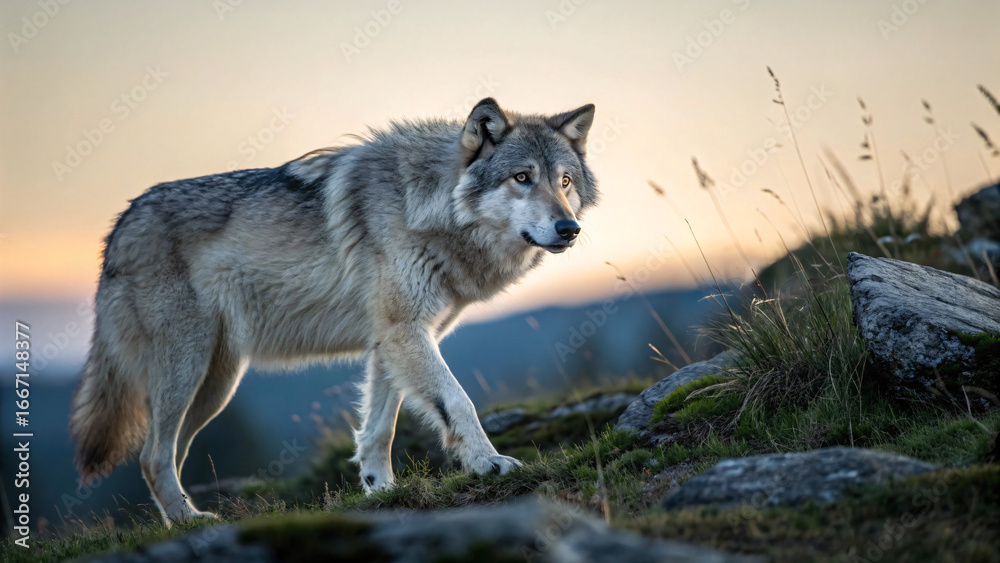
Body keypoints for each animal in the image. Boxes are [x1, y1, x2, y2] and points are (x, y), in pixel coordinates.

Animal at [69, 98, 599, 524]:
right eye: (522, 178)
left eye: (564, 181)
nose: (569, 229)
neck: (426, 205)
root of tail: (118, 227)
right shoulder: (407, 332)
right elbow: (458, 401)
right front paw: (490, 464)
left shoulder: (392, 340)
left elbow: (380, 428)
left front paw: (381, 491)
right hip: (188, 372)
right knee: (151, 456)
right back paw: (189, 520)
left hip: (215, 386)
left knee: (167, 455)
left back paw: (179, 518)